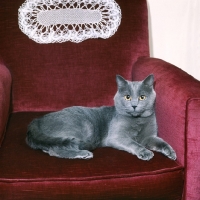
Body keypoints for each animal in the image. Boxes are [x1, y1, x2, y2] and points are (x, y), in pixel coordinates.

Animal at [26, 75, 177, 161]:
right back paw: (83, 153)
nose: (134, 105)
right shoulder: (116, 136)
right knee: (55, 150)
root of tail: (37, 120)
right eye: (127, 97)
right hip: (82, 125)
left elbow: (161, 142)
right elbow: (133, 143)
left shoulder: (149, 136)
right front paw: (145, 152)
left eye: (142, 97)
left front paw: (171, 152)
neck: (137, 120)